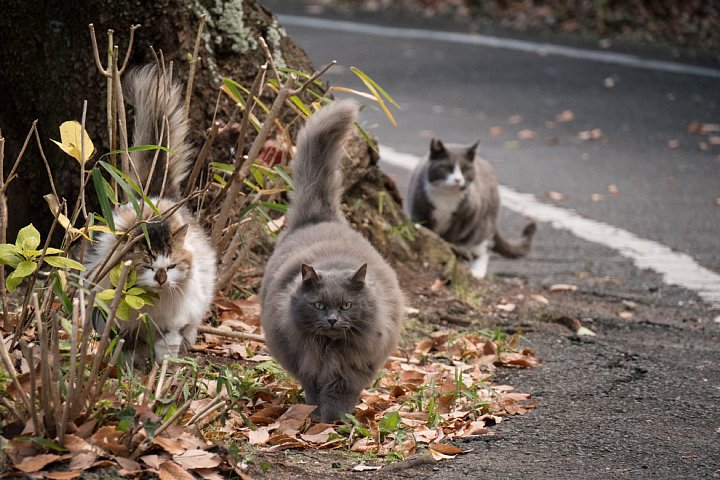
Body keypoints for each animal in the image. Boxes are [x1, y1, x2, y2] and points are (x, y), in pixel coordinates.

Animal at [87, 65, 217, 362]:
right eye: (147, 266)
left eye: (171, 267)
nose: (161, 279)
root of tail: (155, 196)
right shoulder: (116, 321)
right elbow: (121, 343)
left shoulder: (175, 322)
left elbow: (167, 344)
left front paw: (163, 364)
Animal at [260, 99, 404, 422]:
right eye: (318, 306)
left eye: (347, 306)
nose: (333, 319)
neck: (331, 349)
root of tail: (320, 217)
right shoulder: (307, 364)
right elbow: (314, 390)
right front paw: (317, 418)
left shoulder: (354, 369)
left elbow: (340, 394)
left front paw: (334, 420)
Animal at [404, 139, 536, 278]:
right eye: (446, 168)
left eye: (465, 169)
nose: (458, 179)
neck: (446, 197)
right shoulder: (420, 211)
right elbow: (426, 228)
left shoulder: (466, 216)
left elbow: (453, 235)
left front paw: (449, 246)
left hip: (483, 223)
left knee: (484, 246)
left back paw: (477, 271)